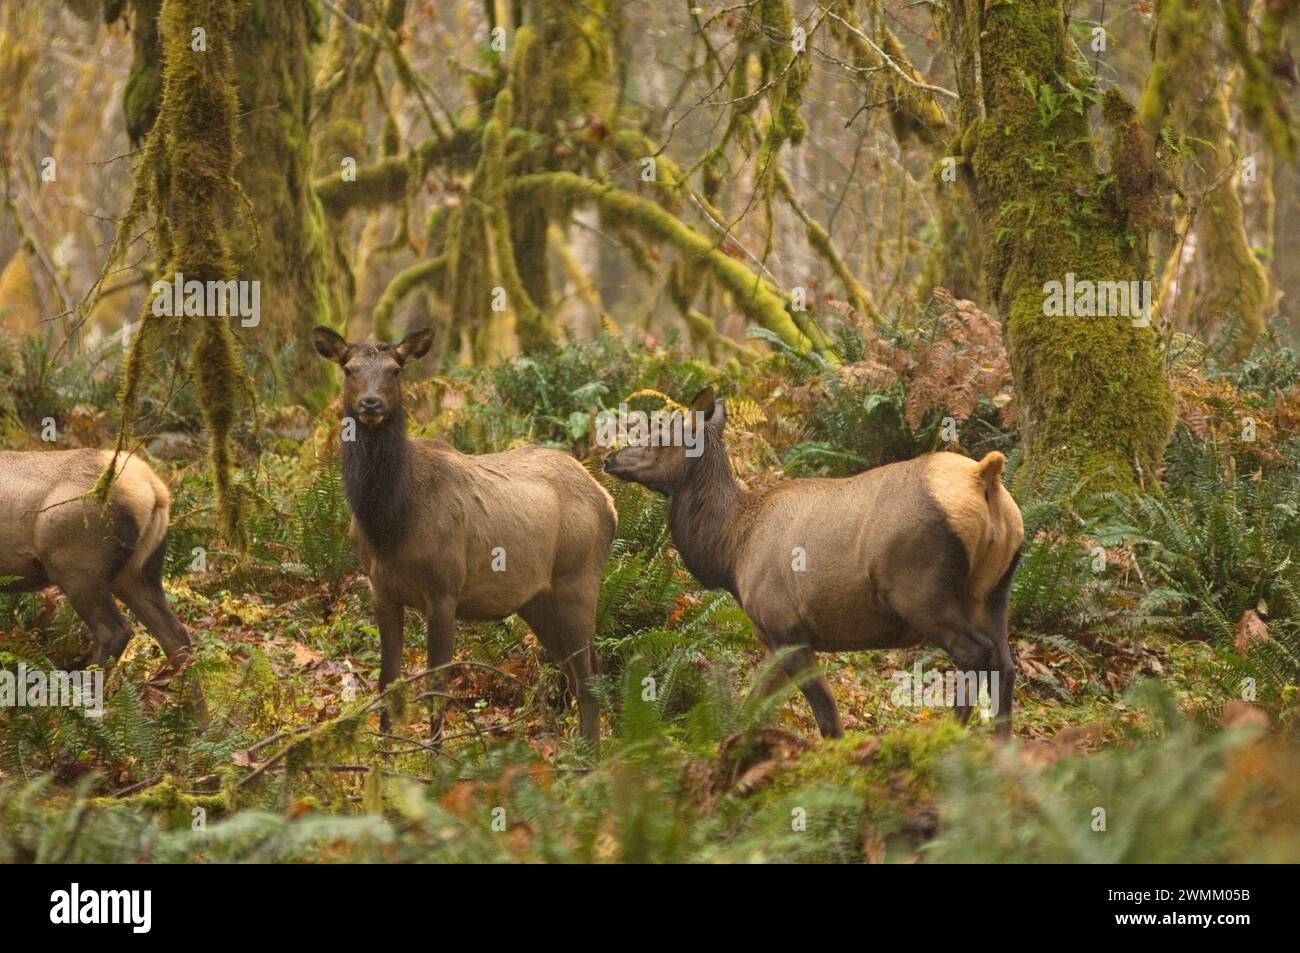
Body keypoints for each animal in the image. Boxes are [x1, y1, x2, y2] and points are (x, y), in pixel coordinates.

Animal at [314, 323, 618, 748]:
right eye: (348, 369)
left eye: (396, 370)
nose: (370, 404)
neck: (391, 524)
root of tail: (608, 502)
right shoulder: (381, 588)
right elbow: (388, 678)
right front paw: (385, 749)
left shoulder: (445, 588)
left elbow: (437, 683)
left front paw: (433, 753)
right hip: (537, 600)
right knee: (585, 671)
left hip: (579, 580)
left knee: (589, 678)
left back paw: (589, 755)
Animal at [600, 387, 1024, 738]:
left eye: (660, 436)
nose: (609, 457)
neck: (730, 553)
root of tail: (985, 475)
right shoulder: (772, 637)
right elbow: (750, 706)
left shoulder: (786, 625)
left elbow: (827, 715)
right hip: (995, 594)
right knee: (1005, 665)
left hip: (919, 589)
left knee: (975, 653)